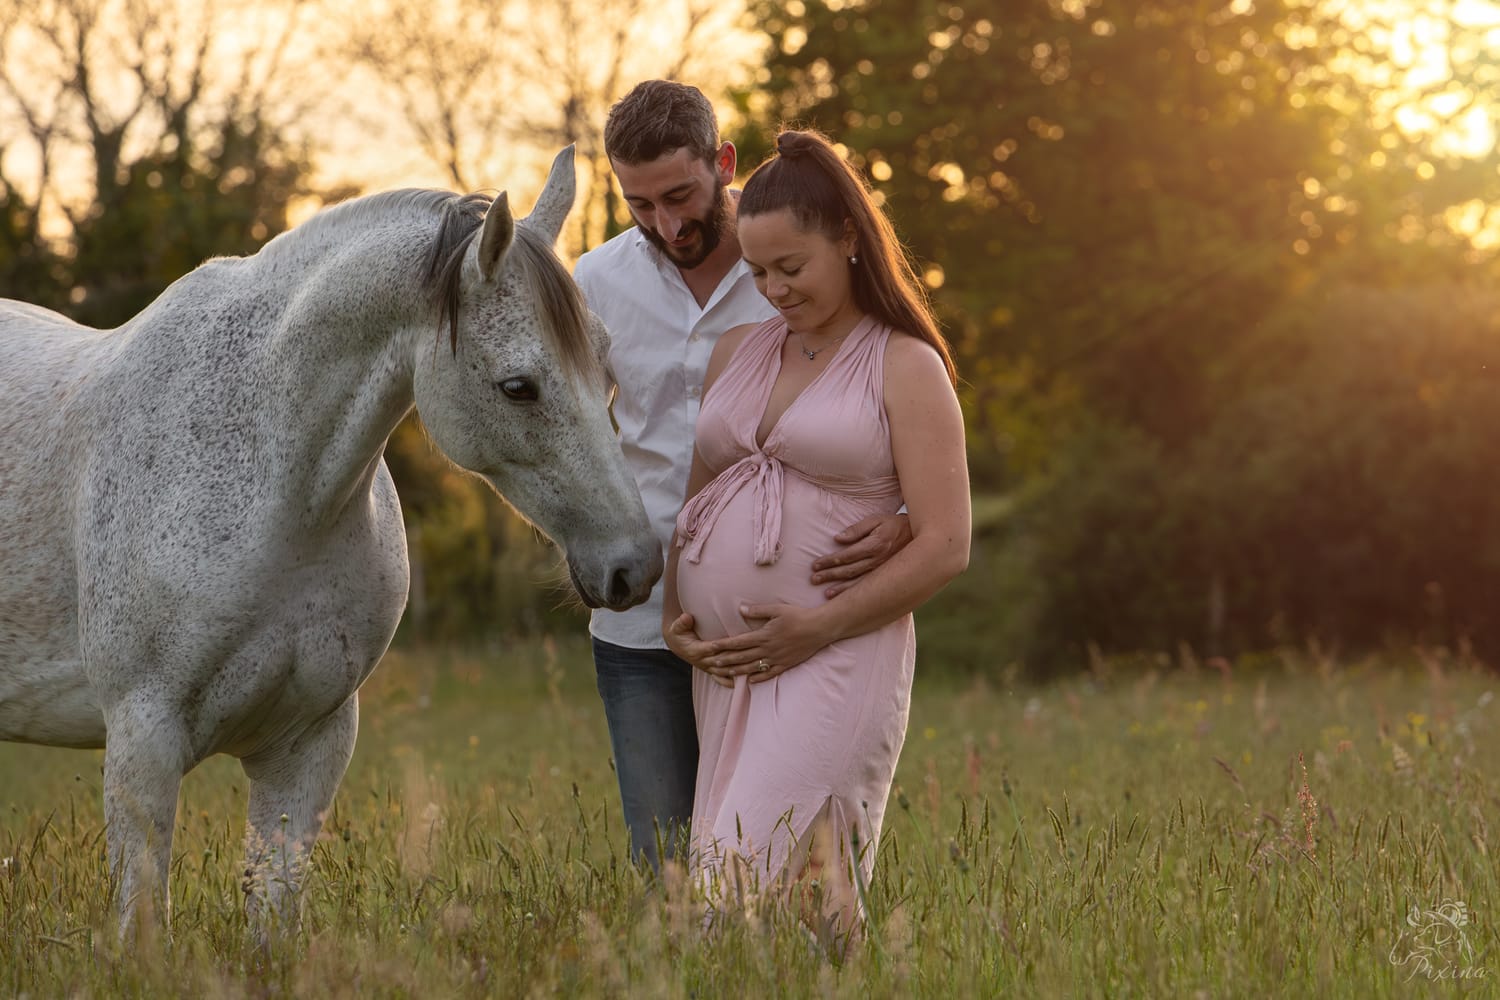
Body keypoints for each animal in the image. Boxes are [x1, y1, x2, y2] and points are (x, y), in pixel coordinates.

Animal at [0, 146, 662, 933]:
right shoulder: (142, 738)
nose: (634, 566)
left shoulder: (309, 743)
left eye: (605, 362)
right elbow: (141, 924)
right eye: (518, 387)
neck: (274, 486)